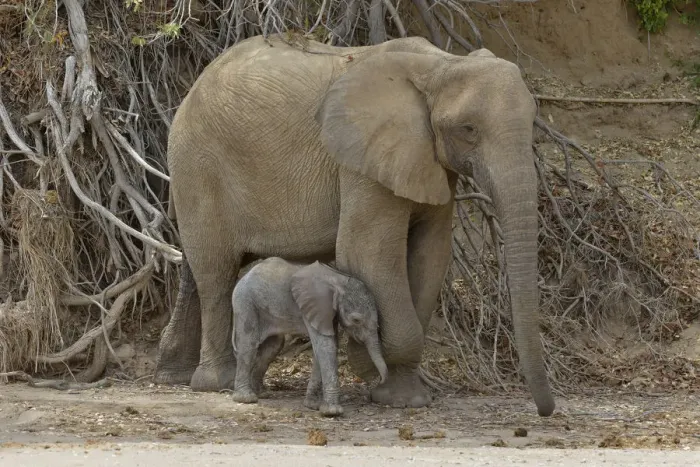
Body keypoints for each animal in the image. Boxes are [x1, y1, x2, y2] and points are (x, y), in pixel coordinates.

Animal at [230, 257, 388, 416]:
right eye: (356, 320)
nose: (380, 381)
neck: (338, 278)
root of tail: (245, 275)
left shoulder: (327, 312)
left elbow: (325, 346)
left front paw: (313, 405)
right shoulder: (313, 306)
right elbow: (326, 346)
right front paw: (332, 411)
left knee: (273, 346)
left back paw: (262, 393)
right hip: (245, 302)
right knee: (249, 344)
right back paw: (246, 398)